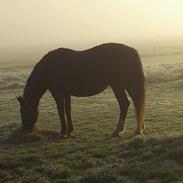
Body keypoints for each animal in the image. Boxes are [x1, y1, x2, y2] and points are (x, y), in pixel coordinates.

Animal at [17, 43, 146, 137]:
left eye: (22, 112)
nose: (25, 129)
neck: (49, 68)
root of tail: (131, 51)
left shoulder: (58, 94)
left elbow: (60, 111)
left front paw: (63, 132)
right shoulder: (66, 94)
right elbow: (68, 110)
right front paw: (70, 130)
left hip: (118, 86)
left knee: (124, 104)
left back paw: (118, 131)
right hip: (128, 85)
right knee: (137, 103)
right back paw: (138, 129)